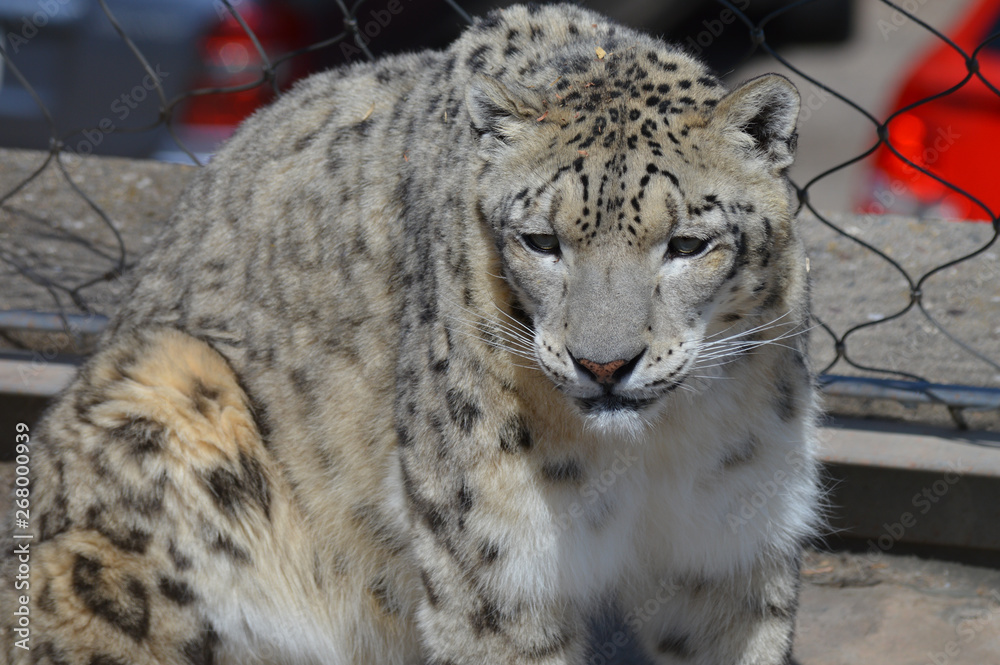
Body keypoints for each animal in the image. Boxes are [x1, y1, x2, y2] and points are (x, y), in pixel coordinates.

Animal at [2, 4, 821, 664]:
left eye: (687, 244)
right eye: (541, 241)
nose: (604, 364)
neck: (651, 455)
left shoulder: (733, 543)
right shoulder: (499, 565)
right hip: (166, 386)